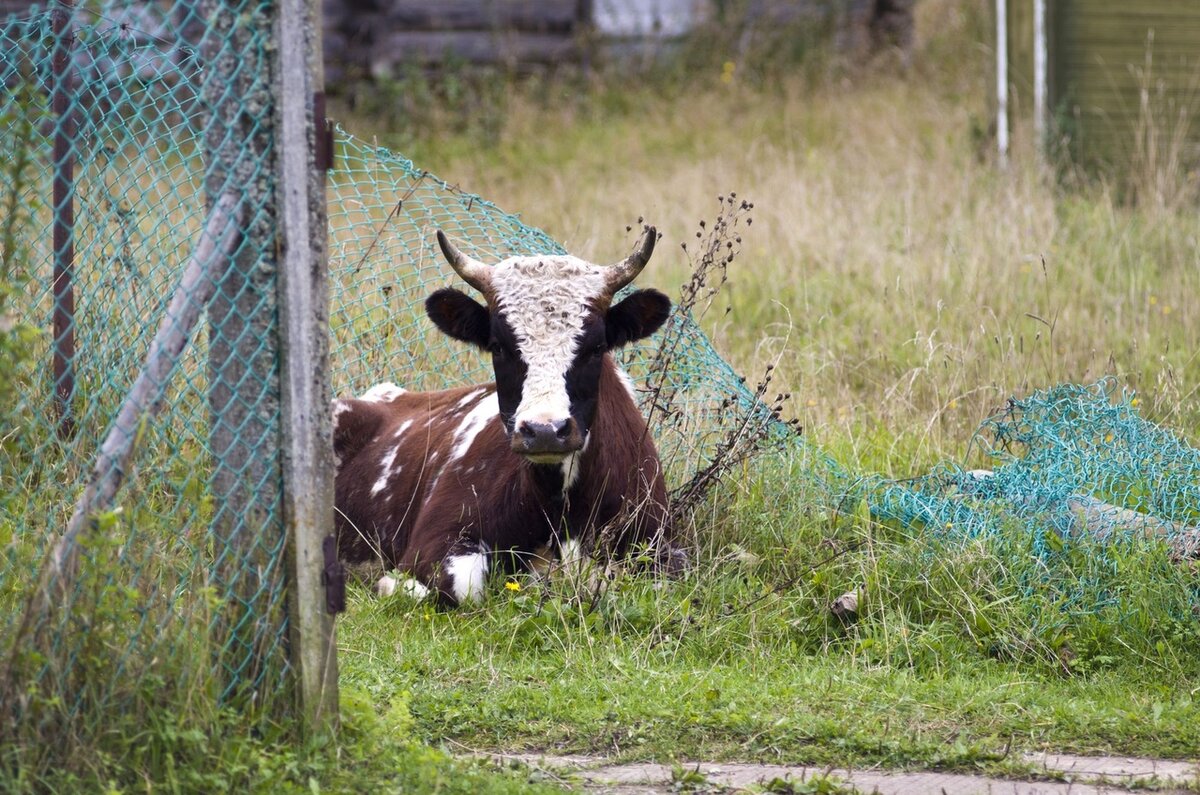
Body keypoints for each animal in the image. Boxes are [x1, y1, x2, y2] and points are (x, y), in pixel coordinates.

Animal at [331, 226, 686, 607]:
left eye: (596, 348)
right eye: (499, 347)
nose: (545, 430)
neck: (558, 504)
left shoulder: (662, 547)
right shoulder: (435, 539)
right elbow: (462, 586)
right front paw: (391, 585)